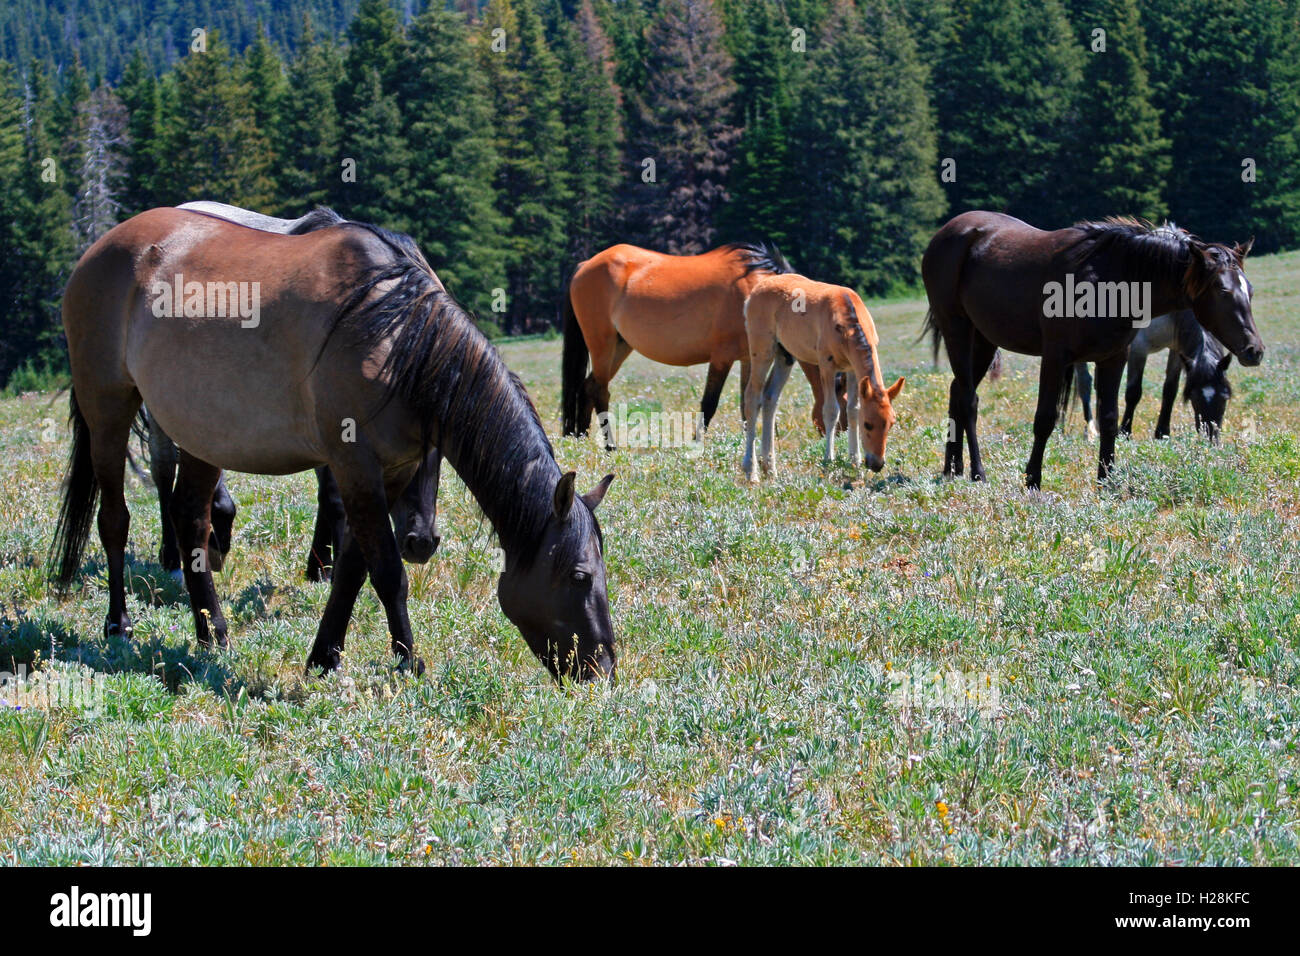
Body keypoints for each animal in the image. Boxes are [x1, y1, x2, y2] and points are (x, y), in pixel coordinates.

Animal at [51, 206, 617, 682]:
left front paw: (324, 657)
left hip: (200, 434)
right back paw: (119, 625)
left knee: (192, 518)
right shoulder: (354, 465)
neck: (397, 333)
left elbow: (351, 570)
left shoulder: (387, 473)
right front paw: (408, 663)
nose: (603, 670)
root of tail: (99, 249)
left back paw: (213, 633)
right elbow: (387, 572)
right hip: (108, 408)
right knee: (114, 520)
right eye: (580, 575)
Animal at [561, 241, 844, 447]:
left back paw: (582, 440)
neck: (758, 290)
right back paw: (610, 446)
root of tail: (585, 265)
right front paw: (698, 444)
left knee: (588, 387)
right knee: (600, 391)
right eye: (841, 395)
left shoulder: (748, 358)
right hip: (602, 343)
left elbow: (748, 402)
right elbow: (709, 403)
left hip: (620, 346)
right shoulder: (722, 357)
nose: (841, 435)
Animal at [741, 274, 903, 480]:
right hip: (762, 350)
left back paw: (770, 469)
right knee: (752, 398)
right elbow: (831, 411)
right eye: (867, 425)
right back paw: (751, 471)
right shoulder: (827, 366)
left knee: (770, 398)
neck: (846, 319)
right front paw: (828, 462)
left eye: (891, 424)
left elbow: (853, 409)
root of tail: (754, 292)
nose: (877, 464)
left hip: (784, 355)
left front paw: (855, 462)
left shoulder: (852, 369)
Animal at [1066, 309, 1232, 442]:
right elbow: (1133, 393)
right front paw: (1125, 432)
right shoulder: (1138, 347)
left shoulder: (1176, 349)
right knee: (1085, 383)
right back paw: (1091, 431)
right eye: (1194, 398)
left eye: (1225, 398)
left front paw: (1162, 433)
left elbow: (1170, 390)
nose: (1211, 438)